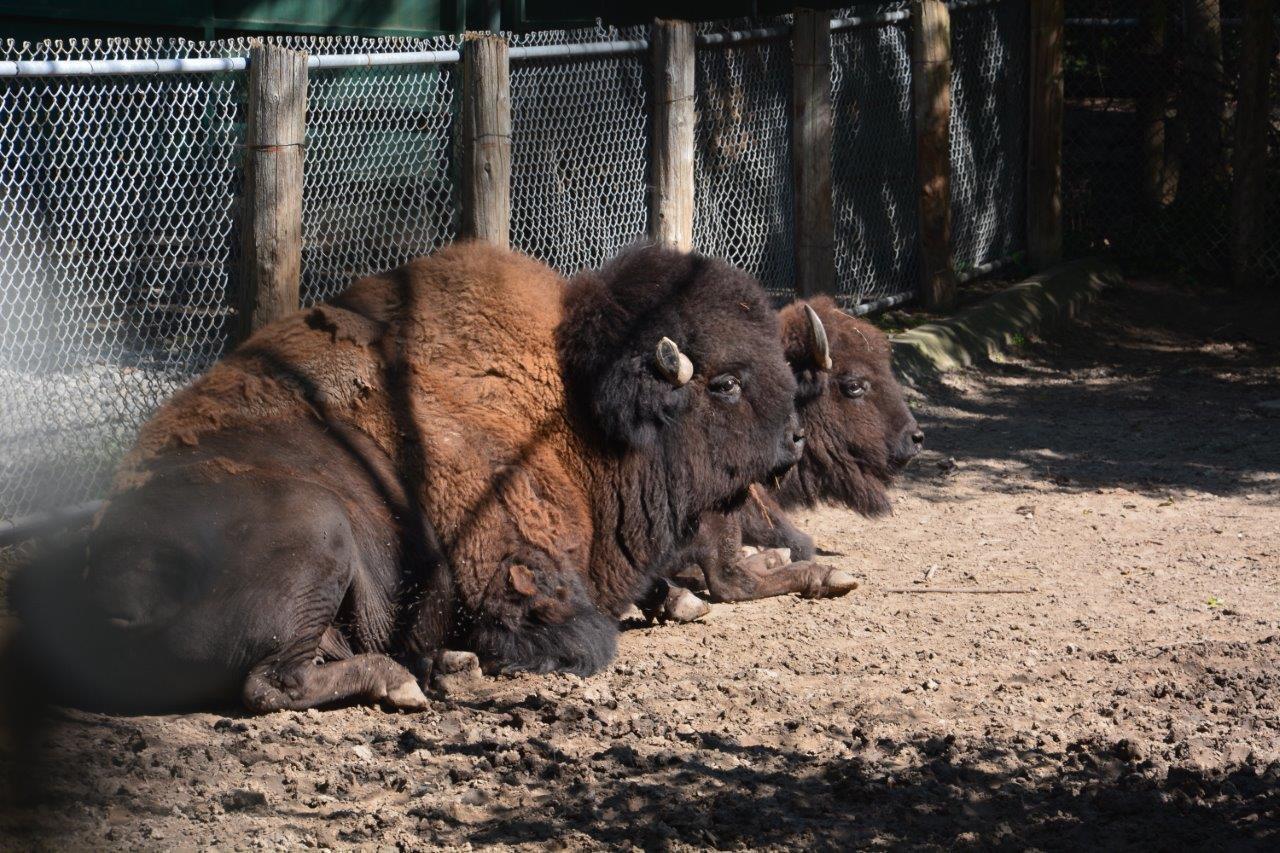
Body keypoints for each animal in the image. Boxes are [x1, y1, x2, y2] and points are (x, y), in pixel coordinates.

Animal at [15, 240, 803, 712]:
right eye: (726, 384)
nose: (795, 436)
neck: (572, 400)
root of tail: (101, 588)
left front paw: (689, 596)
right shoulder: (512, 572)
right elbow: (580, 636)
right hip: (322, 531)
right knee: (270, 682)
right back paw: (410, 679)